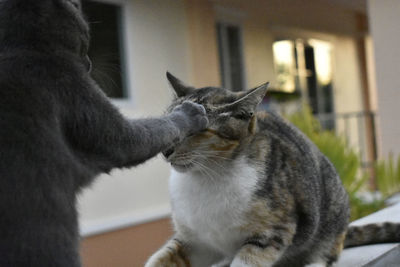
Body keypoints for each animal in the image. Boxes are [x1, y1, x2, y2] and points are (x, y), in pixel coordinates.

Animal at [146, 74, 400, 267]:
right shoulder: (194, 241)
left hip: (333, 214)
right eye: (171, 121)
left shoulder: (271, 233)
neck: (206, 178)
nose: (165, 150)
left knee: (327, 254)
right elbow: (161, 258)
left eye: (198, 130)